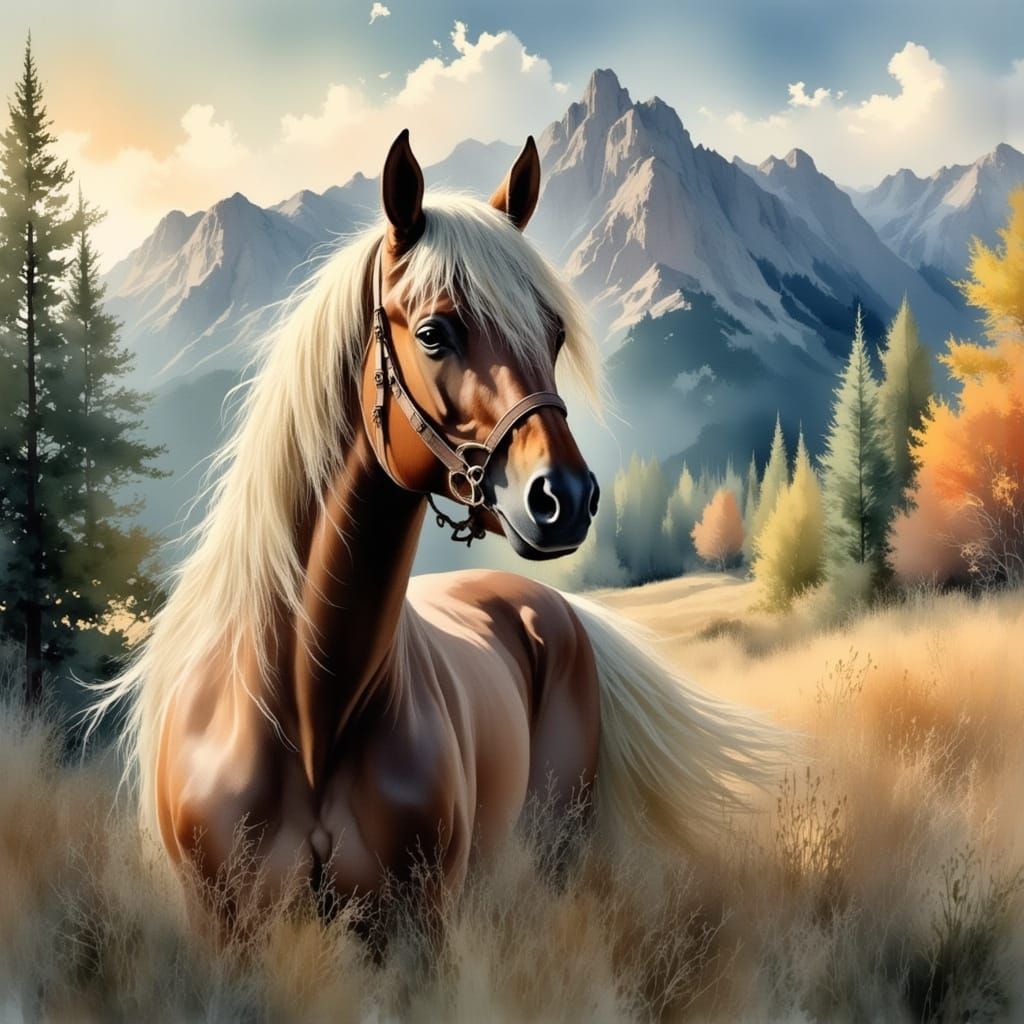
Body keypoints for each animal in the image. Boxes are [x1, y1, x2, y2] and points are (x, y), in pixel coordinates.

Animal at [93, 130, 781, 918]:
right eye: (432, 333)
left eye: (553, 334)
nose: (566, 497)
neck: (306, 712)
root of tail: (562, 608)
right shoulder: (225, 921)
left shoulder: (418, 921)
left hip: (557, 848)